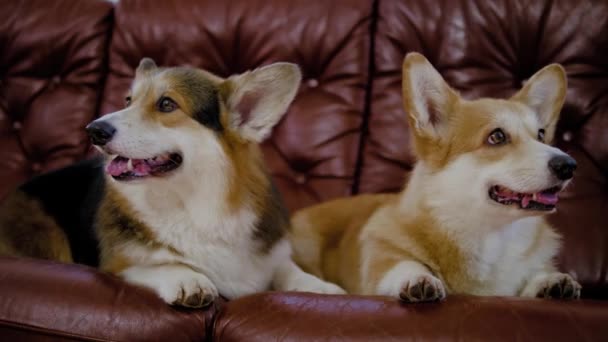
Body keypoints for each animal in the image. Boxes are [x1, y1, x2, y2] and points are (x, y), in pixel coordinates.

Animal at [0, 58, 344, 308]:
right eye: (128, 100)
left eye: (166, 104)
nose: (93, 130)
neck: (195, 206)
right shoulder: (117, 262)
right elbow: (156, 262)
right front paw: (188, 279)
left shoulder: (269, 258)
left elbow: (288, 269)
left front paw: (321, 288)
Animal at [292, 52, 580, 302]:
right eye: (497, 136)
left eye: (541, 135)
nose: (568, 165)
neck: (489, 235)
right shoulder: (382, 258)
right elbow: (404, 264)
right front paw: (418, 279)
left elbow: (536, 273)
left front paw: (551, 281)